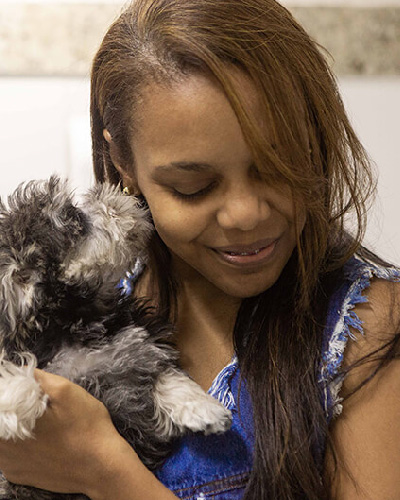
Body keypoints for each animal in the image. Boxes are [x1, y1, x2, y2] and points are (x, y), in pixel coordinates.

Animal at [0, 178, 231, 498]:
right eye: (77, 219)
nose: (116, 194)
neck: (77, 320)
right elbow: (23, 373)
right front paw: (11, 400)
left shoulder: (141, 342)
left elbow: (166, 374)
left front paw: (205, 409)